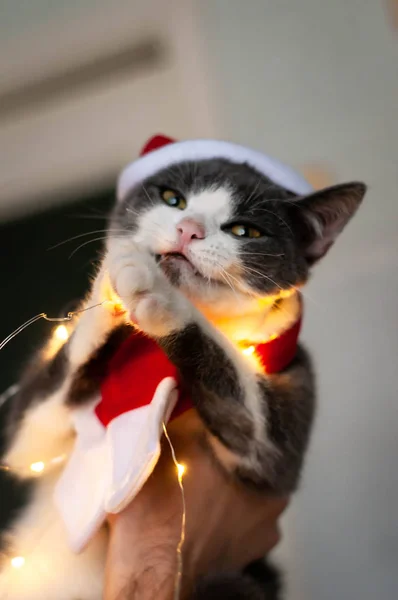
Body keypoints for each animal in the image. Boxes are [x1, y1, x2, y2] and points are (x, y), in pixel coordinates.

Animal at [0, 146, 364, 600]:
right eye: (173, 199)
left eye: (245, 230)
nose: (188, 230)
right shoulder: (33, 434)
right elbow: (29, 431)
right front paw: (110, 283)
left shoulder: (292, 393)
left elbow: (261, 435)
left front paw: (158, 293)